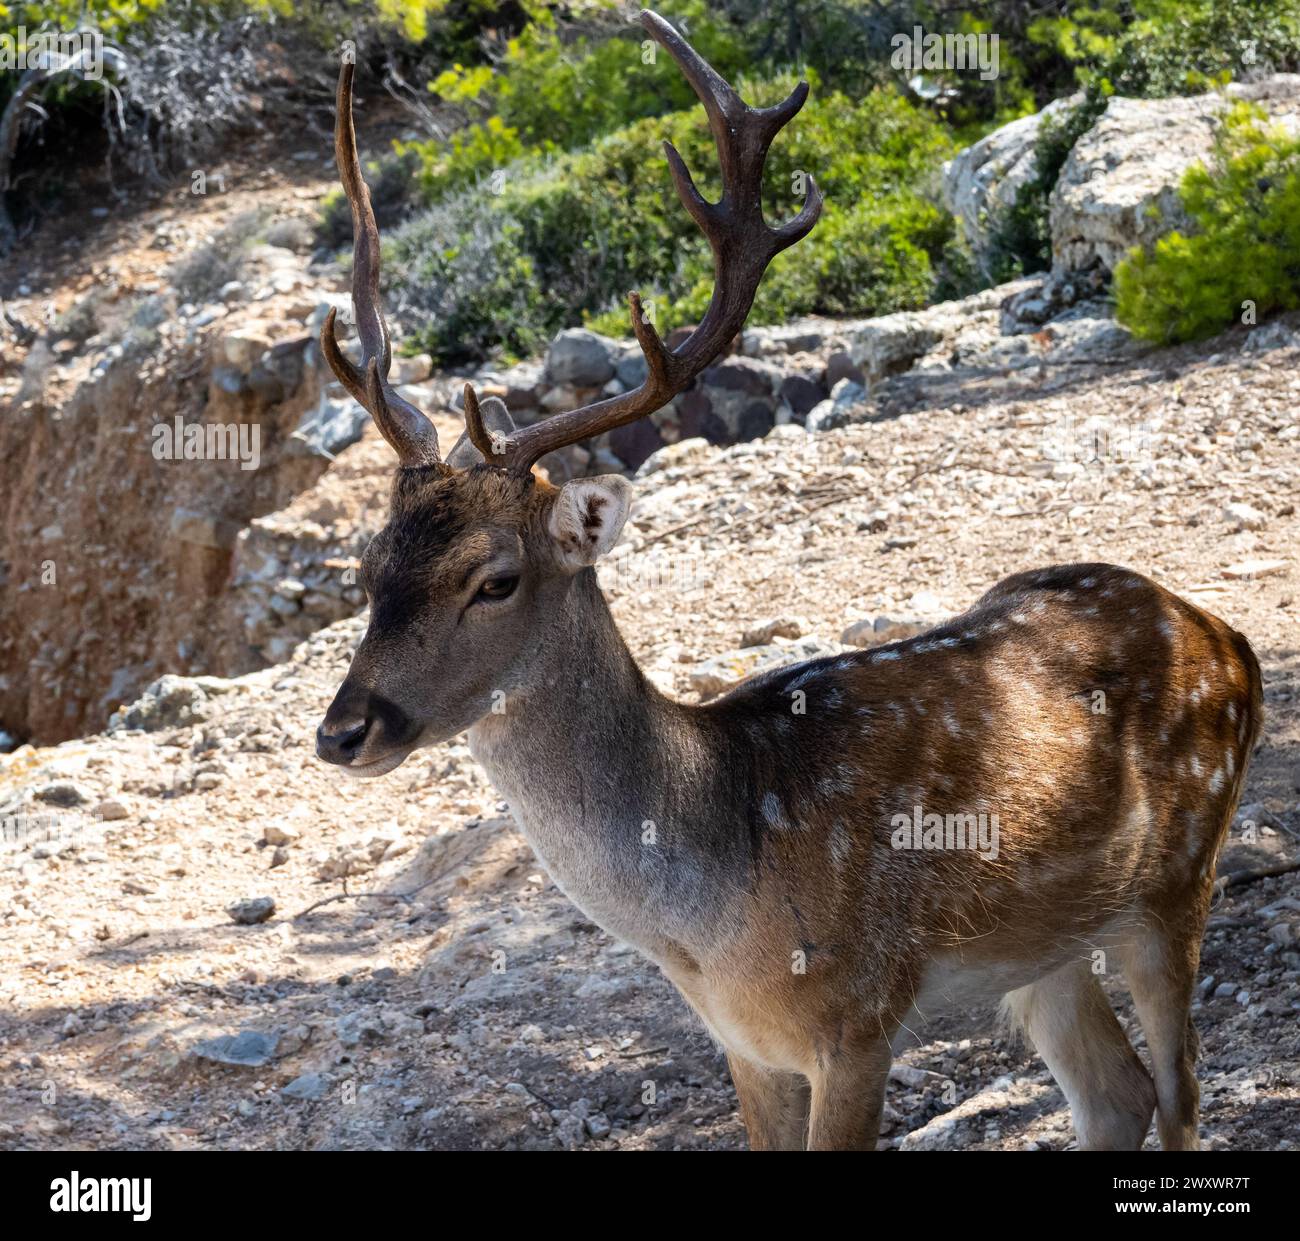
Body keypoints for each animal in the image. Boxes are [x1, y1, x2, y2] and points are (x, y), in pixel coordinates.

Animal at [312, 12, 1258, 1153]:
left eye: (493, 579)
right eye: (370, 565)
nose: (344, 730)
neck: (710, 924)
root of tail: (1226, 636)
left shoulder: (858, 1013)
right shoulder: (742, 1041)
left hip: (1180, 876)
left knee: (1179, 1090)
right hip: (1050, 941)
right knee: (1115, 1091)